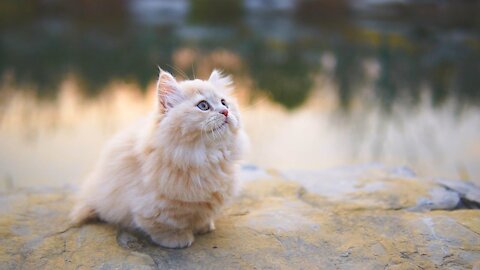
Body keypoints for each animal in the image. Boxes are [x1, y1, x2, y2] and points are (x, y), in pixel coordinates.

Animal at [69, 68, 246, 248]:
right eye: (203, 106)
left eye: (224, 103)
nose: (225, 112)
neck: (205, 156)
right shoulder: (153, 206)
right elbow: (165, 226)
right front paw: (178, 239)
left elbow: (203, 216)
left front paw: (204, 227)